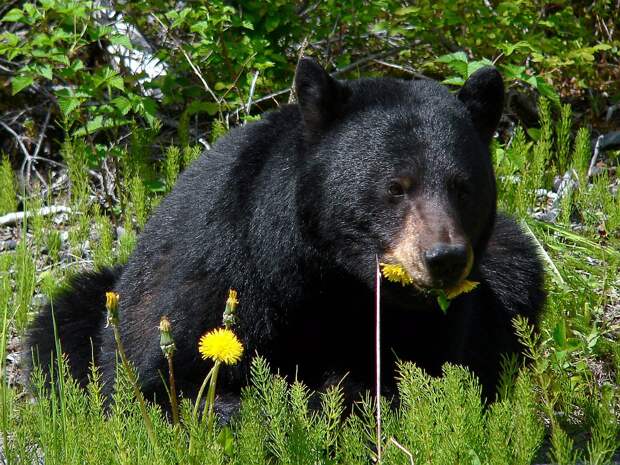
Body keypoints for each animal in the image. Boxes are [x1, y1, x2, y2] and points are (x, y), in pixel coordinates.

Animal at [29, 57, 544, 406]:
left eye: (463, 187)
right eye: (396, 186)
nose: (444, 258)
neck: (331, 279)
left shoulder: (434, 323)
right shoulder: (222, 272)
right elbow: (167, 380)